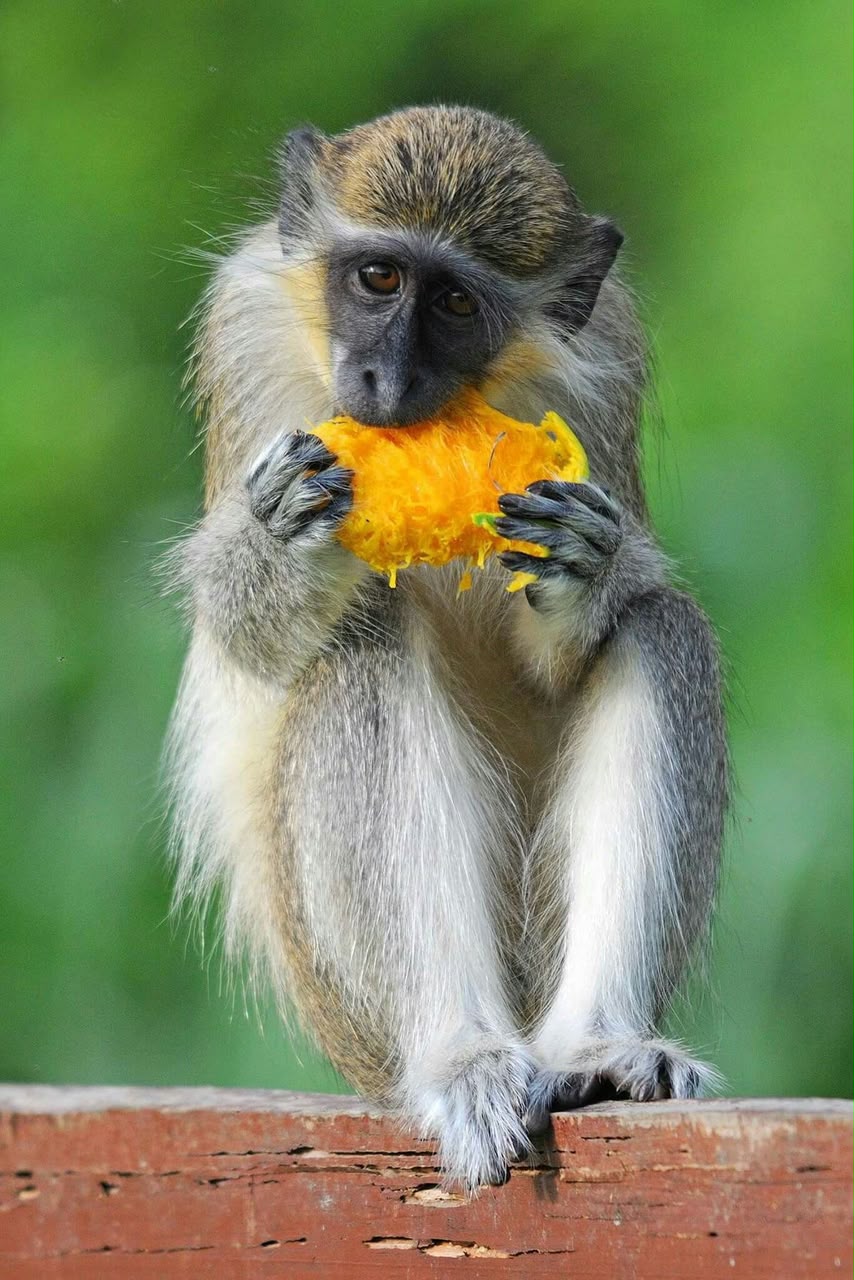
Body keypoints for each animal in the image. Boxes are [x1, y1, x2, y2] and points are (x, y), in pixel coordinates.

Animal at [166, 105, 728, 1192]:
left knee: (659, 624)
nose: (383, 380)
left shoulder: (602, 362)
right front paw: (277, 535)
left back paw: (597, 1047)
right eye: (378, 278)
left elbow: (601, 614)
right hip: (340, 995)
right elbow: (240, 628)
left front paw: (582, 568)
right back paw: (458, 1052)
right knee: (361, 641)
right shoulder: (242, 330)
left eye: (457, 302)